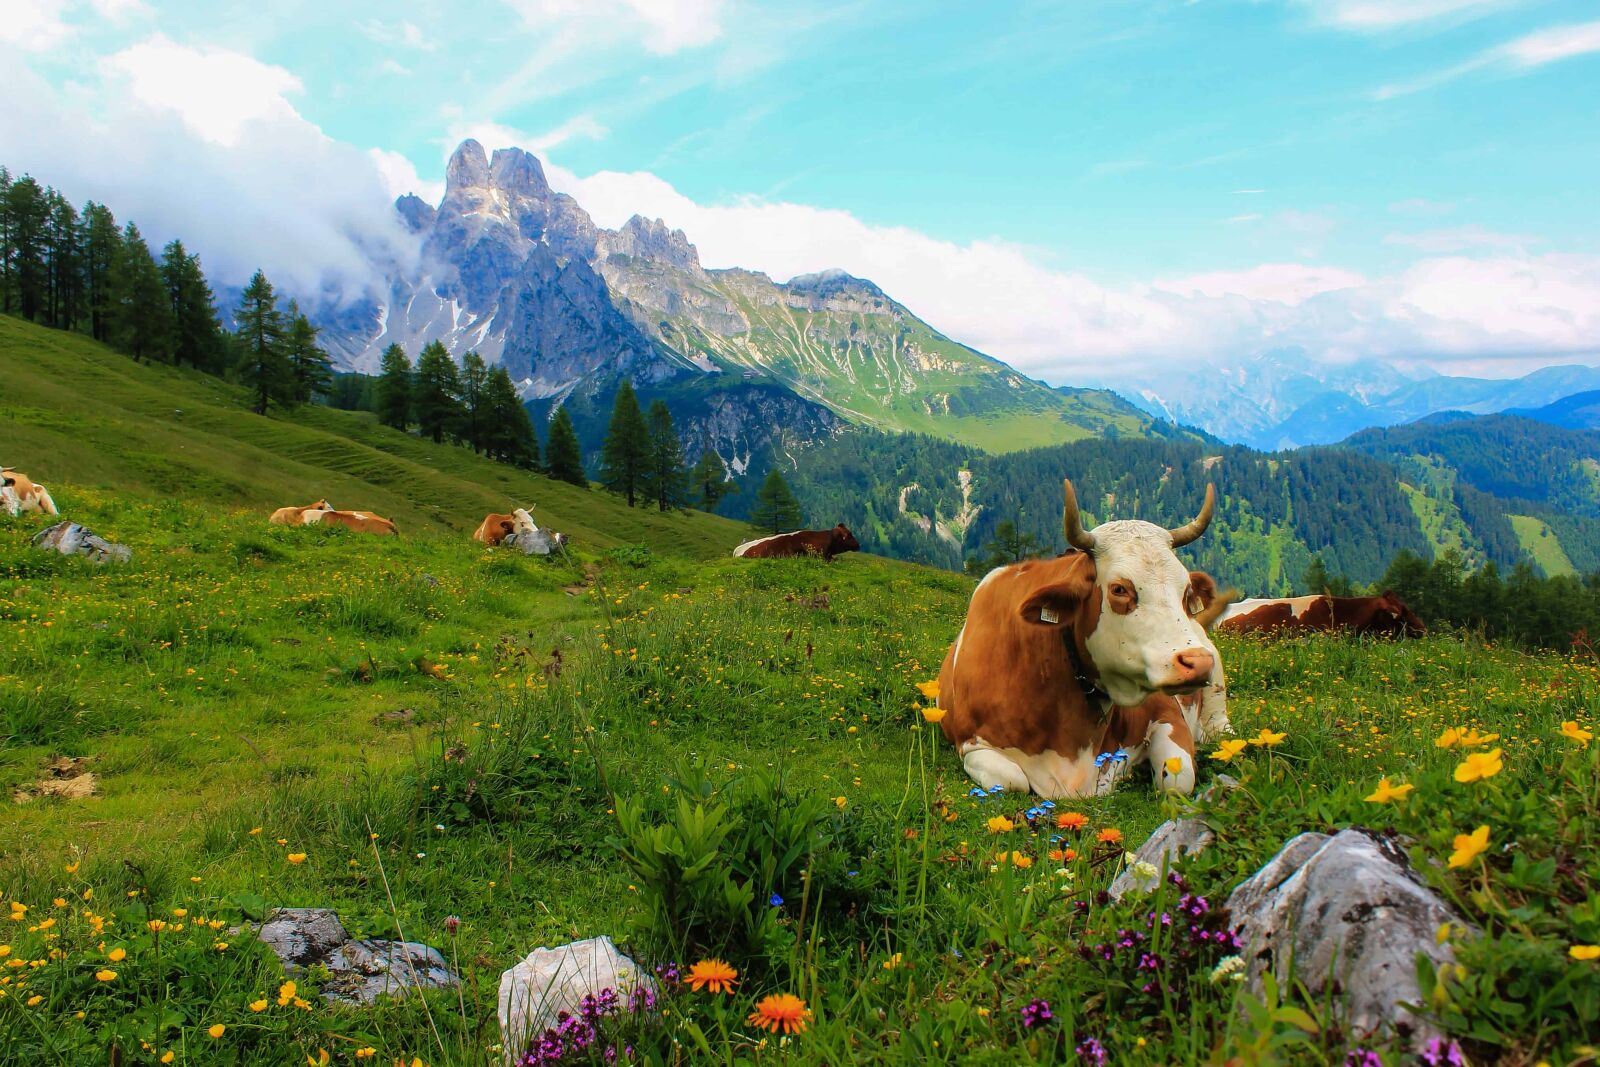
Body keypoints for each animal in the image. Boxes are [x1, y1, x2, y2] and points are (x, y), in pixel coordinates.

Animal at [936, 480, 1232, 798]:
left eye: (1186, 590)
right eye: (1119, 589)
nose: (1198, 662)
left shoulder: (1166, 712)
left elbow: (1177, 781)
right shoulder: (971, 742)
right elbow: (1012, 779)